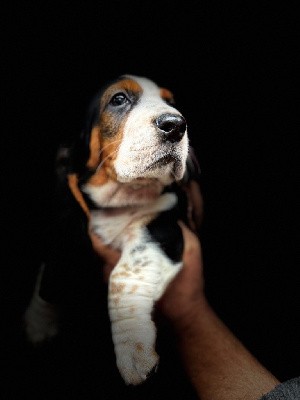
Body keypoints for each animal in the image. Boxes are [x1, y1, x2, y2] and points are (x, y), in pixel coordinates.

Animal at [23, 74, 202, 384]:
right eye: (118, 99)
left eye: (171, 102)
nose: (176, 124)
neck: (122, 197)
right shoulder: (65, 224)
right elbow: (50, 266)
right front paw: (38, 322)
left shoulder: (163, 228)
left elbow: (123, 275)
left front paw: (133, 349)